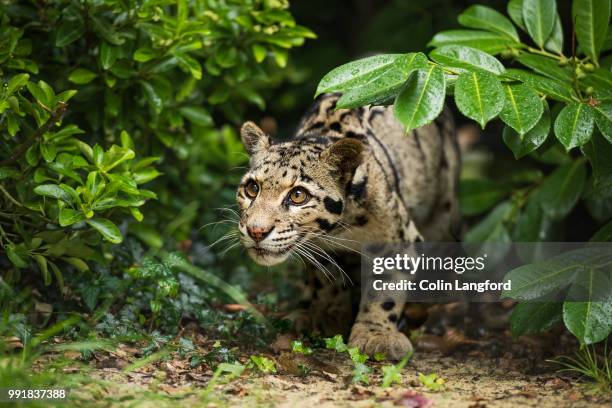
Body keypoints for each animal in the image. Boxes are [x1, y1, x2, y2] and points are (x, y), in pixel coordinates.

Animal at [234, 93, 460, 360]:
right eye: (252, 188)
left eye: (298, 195)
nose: (256, 231)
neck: (341, 228)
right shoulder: (321, 249)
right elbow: (325, 277)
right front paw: (323, 313)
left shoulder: (400, 239)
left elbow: (384, 288)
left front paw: (375, 334)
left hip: (443, 211)